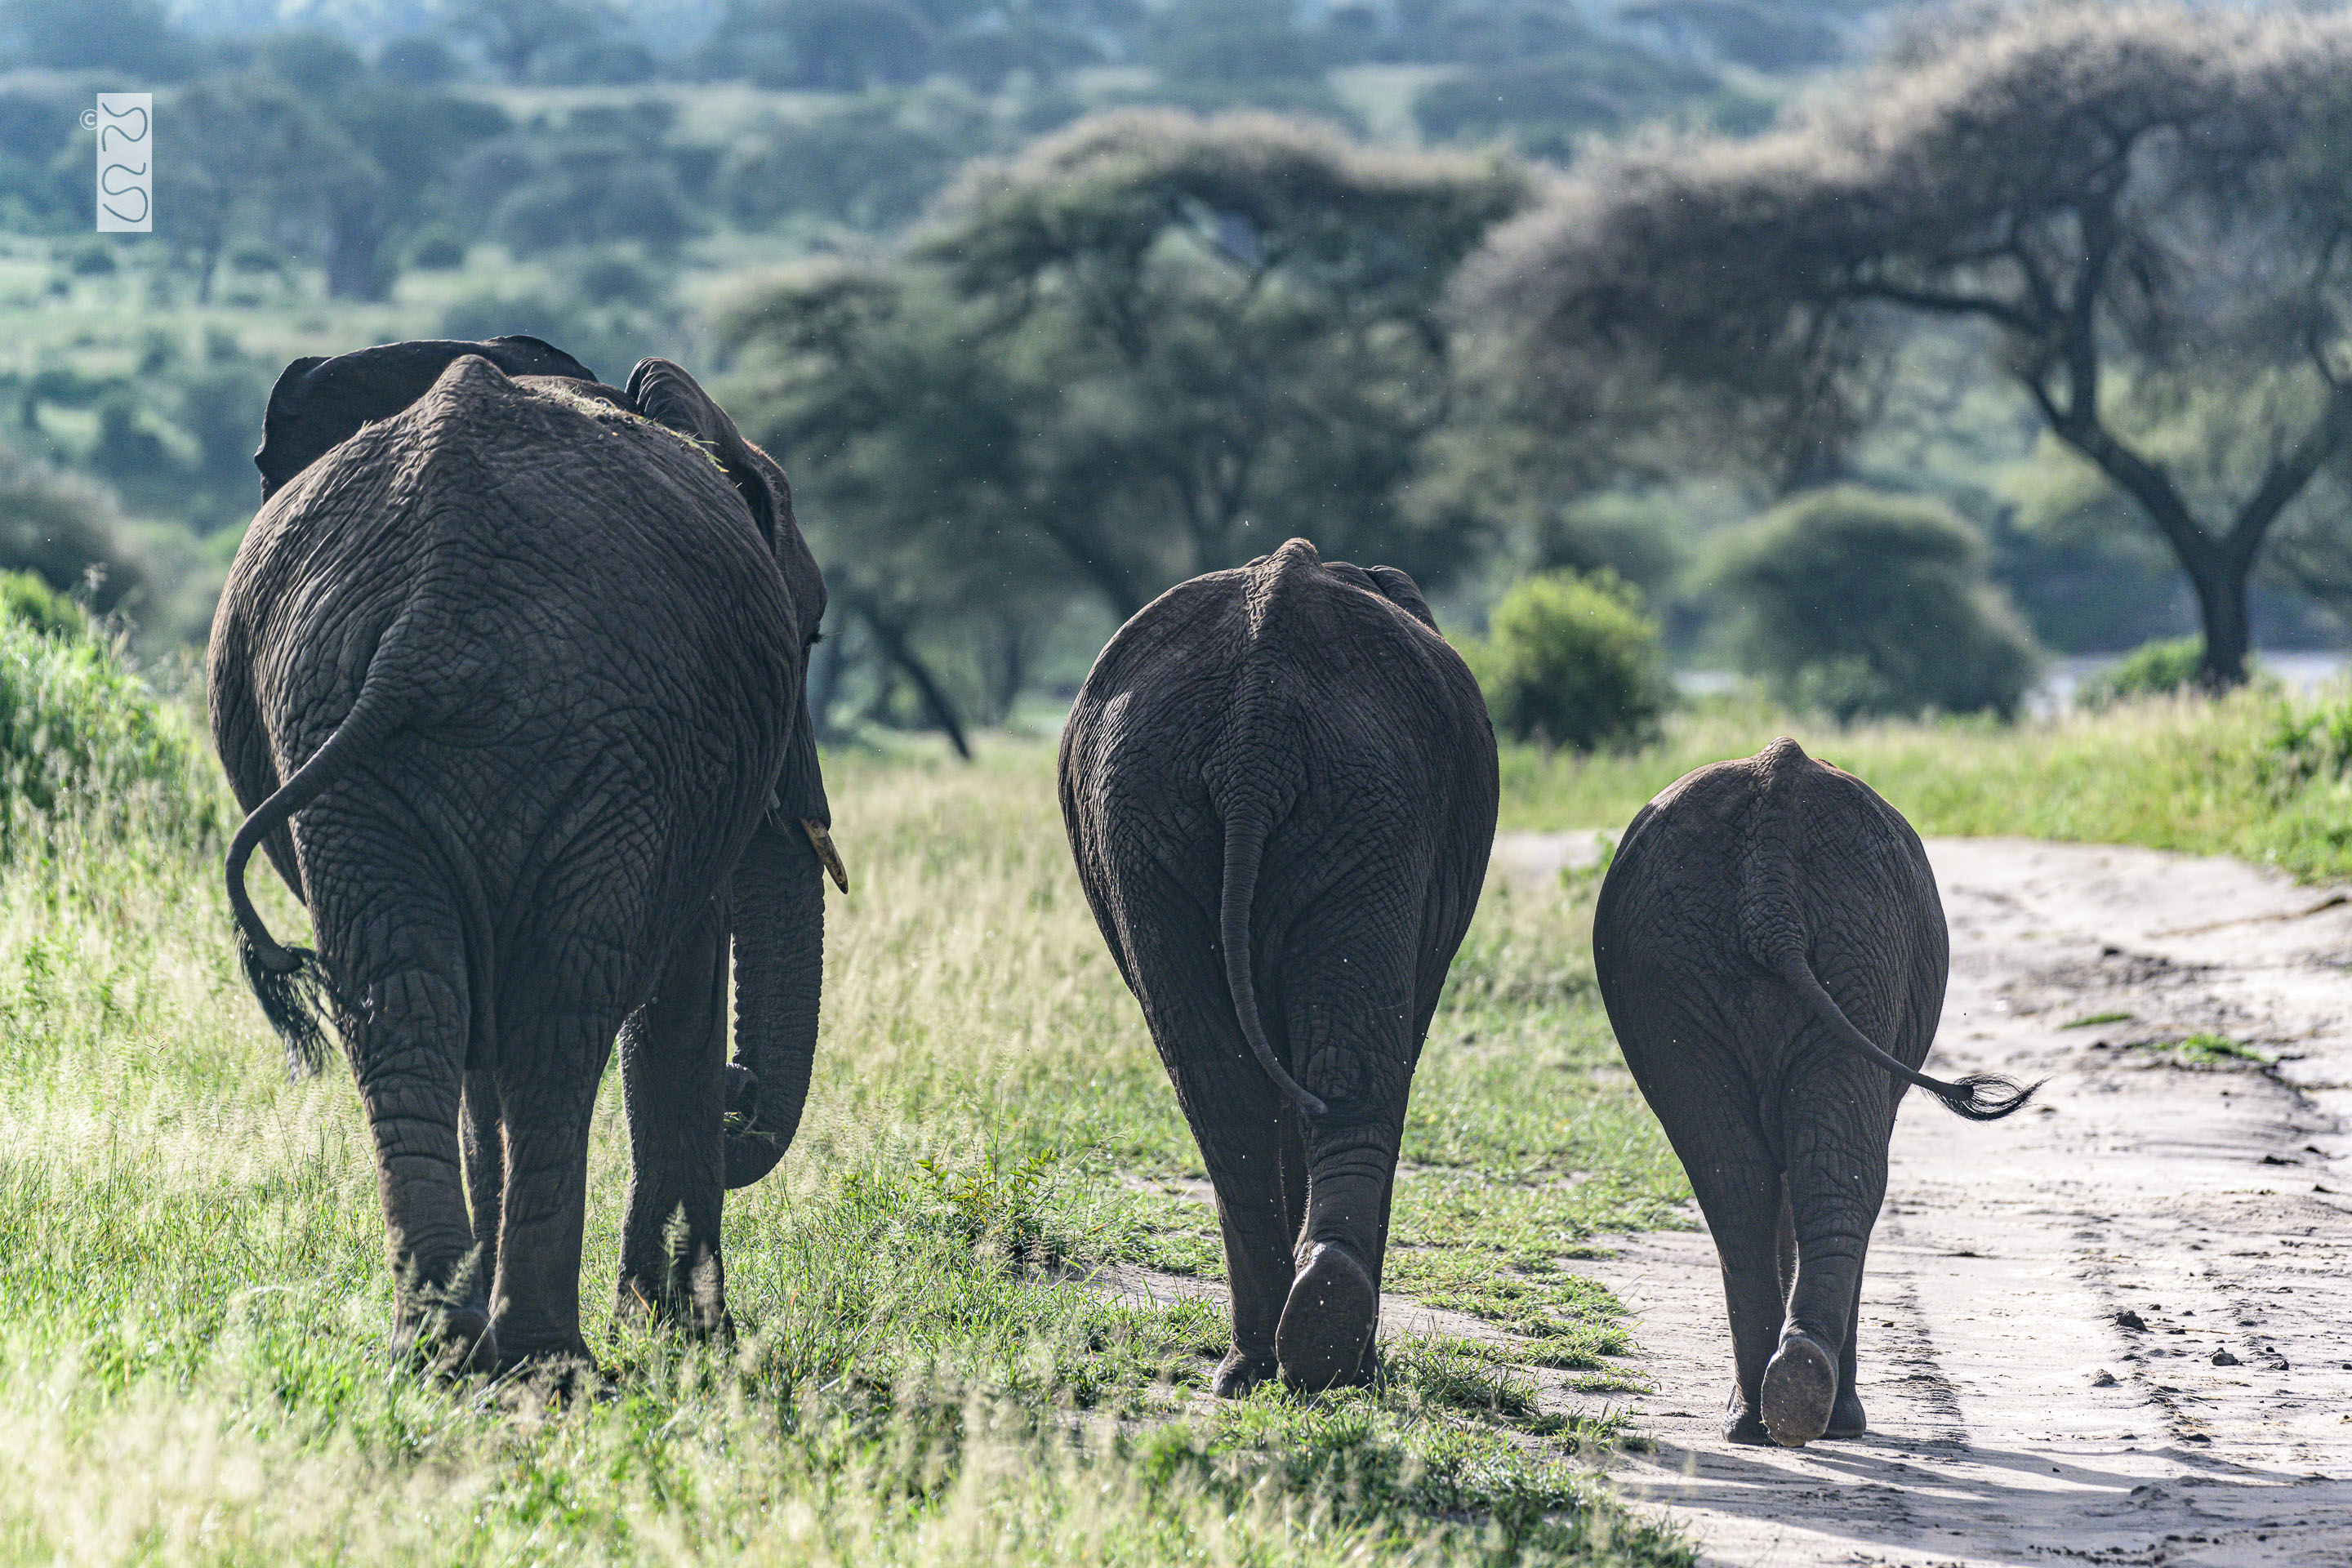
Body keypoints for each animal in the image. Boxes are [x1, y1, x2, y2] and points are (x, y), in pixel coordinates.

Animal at [207, 338, 842, 1382]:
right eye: (812, 634)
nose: (741, 1094)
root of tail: (436, 597)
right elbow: (677, 993)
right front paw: (689, 1336)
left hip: (343, 717)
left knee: (408, 997)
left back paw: (443, 1348)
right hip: (597, 732)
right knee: (558, 1012)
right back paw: (550, 1363)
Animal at [1062, 542, 1495, 1401]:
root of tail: (1255, 729)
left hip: (1169, 814)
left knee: (1227, 1079)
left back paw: (1270, 1359)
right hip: (1351, 806)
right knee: (1340, 1069)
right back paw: (1326, 1358)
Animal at [1599, 742, 2041, 1457]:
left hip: (1712, 958)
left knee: (1737, 1178)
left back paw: (1767, 1411)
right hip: (1853, 944)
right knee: (1830, 1172)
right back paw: (1812, 1405)